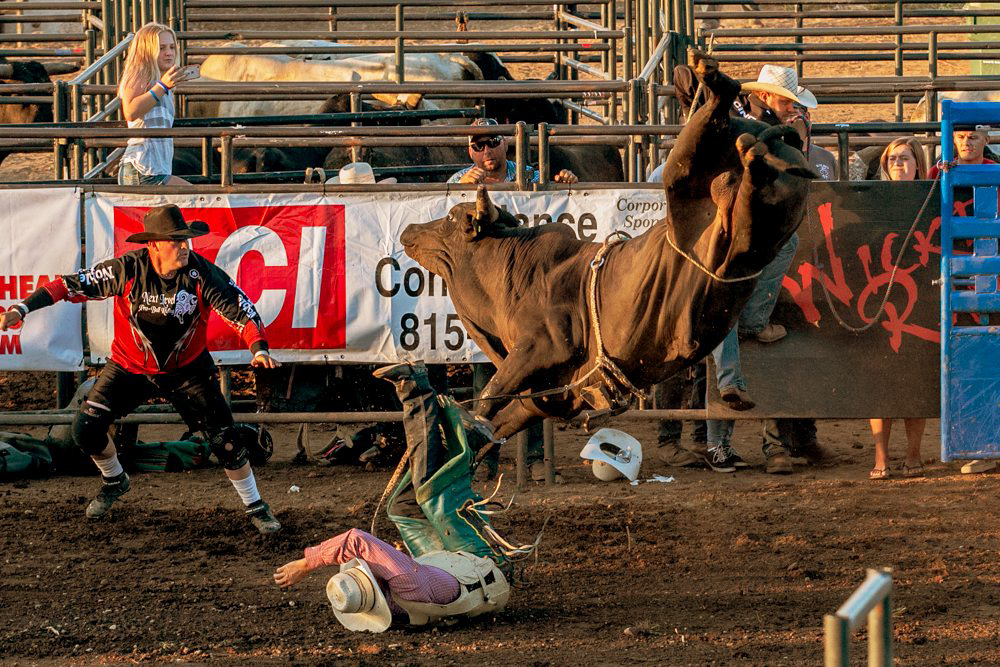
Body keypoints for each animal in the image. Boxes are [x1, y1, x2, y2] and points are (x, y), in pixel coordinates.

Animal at [398, 52, 817, 441]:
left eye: (451, 219)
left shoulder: (541, 345)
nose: (409, 230)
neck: (512, 272)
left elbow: (494, 388)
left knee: (710, 133)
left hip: (685, 184)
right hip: (753, 220)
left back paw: (714, 86)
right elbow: (499, 416)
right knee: (751, 188)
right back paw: (750, 146)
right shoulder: (540, 400)